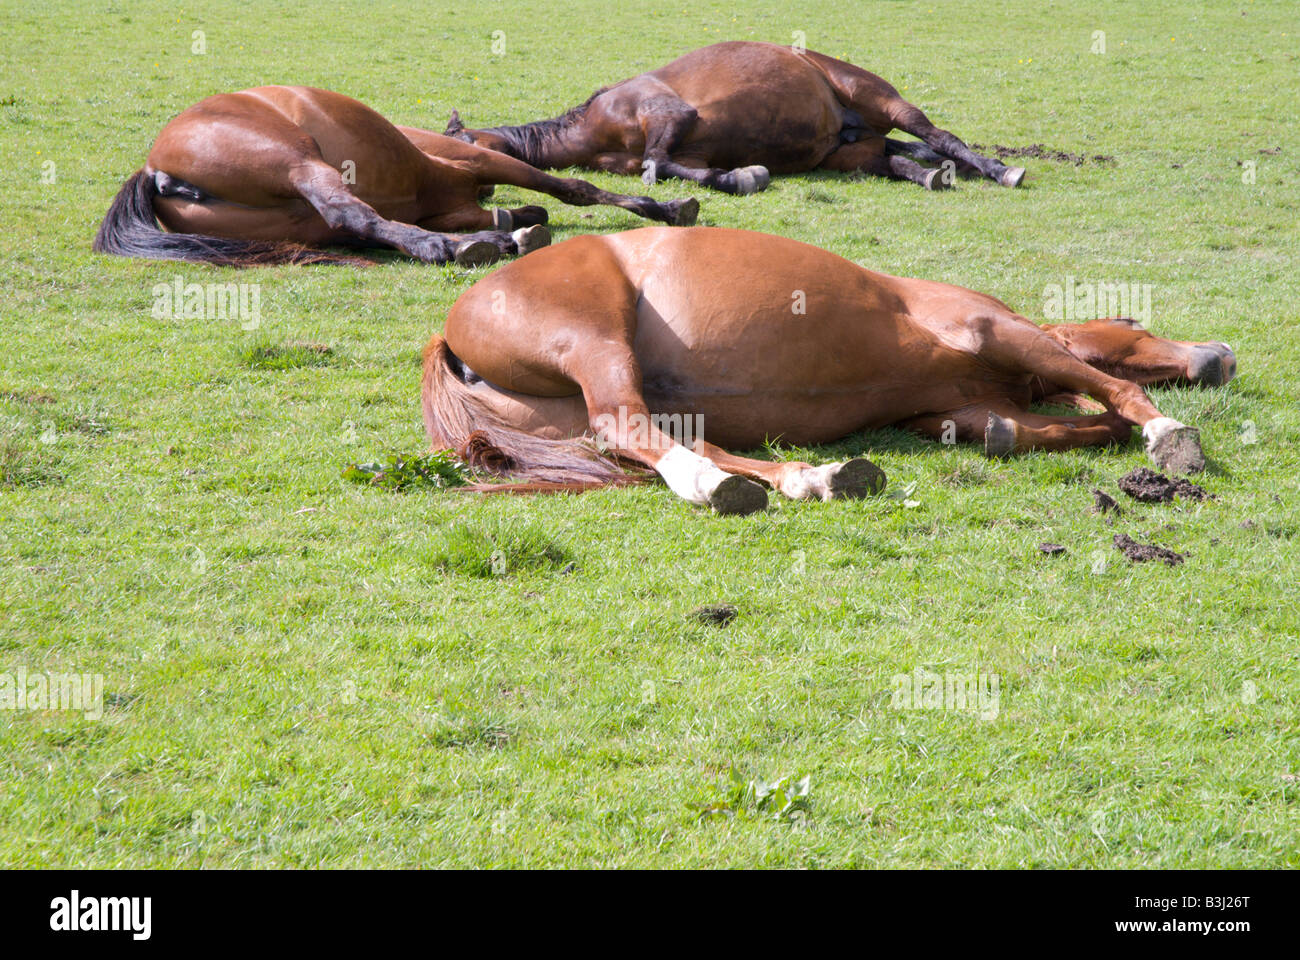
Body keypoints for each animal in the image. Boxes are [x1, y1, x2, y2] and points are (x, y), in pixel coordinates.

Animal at [94, 86, 699, 268]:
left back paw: (483, 240)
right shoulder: (481, 163)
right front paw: (665, 209)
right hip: (298, 162)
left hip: (300, 223)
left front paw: (515, 223)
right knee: (352, 213)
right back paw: (451, 248)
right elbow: (570, 188)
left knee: (358, 226)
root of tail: (155, 169)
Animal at [422, 228, 1235, 515]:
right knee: (630, 426)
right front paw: (1168, 433)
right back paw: (717, 486)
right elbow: (1113, 390)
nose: (1219, 357)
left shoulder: (961, 407)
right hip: (596, 344)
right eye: (1138, 326)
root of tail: (450, 329)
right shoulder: (992, 330)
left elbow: (1051, 426)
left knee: (671, 438)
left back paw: (805, 479)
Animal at [444, 41, 1027, 195]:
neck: (596, 123)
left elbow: (657, 164)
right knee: (897, 161)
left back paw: (1000, 170)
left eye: (459, 143)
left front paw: (744, 177)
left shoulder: (670, 117)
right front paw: (740, 175)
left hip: (882, 99)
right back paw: (931, 175)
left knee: (939, 136)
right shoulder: (687, 151)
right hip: (848, 154)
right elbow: (668, 169)